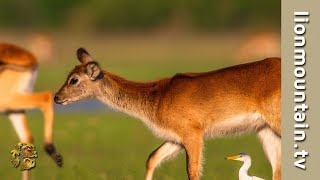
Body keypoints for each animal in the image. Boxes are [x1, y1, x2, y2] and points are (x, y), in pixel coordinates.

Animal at [54, 47, 280, 180]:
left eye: (74, 79)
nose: (56, 97)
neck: (158, 96)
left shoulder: (192, 135)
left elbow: (193, 172)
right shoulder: (175, 139)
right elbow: (152, 158)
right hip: (266, 131)